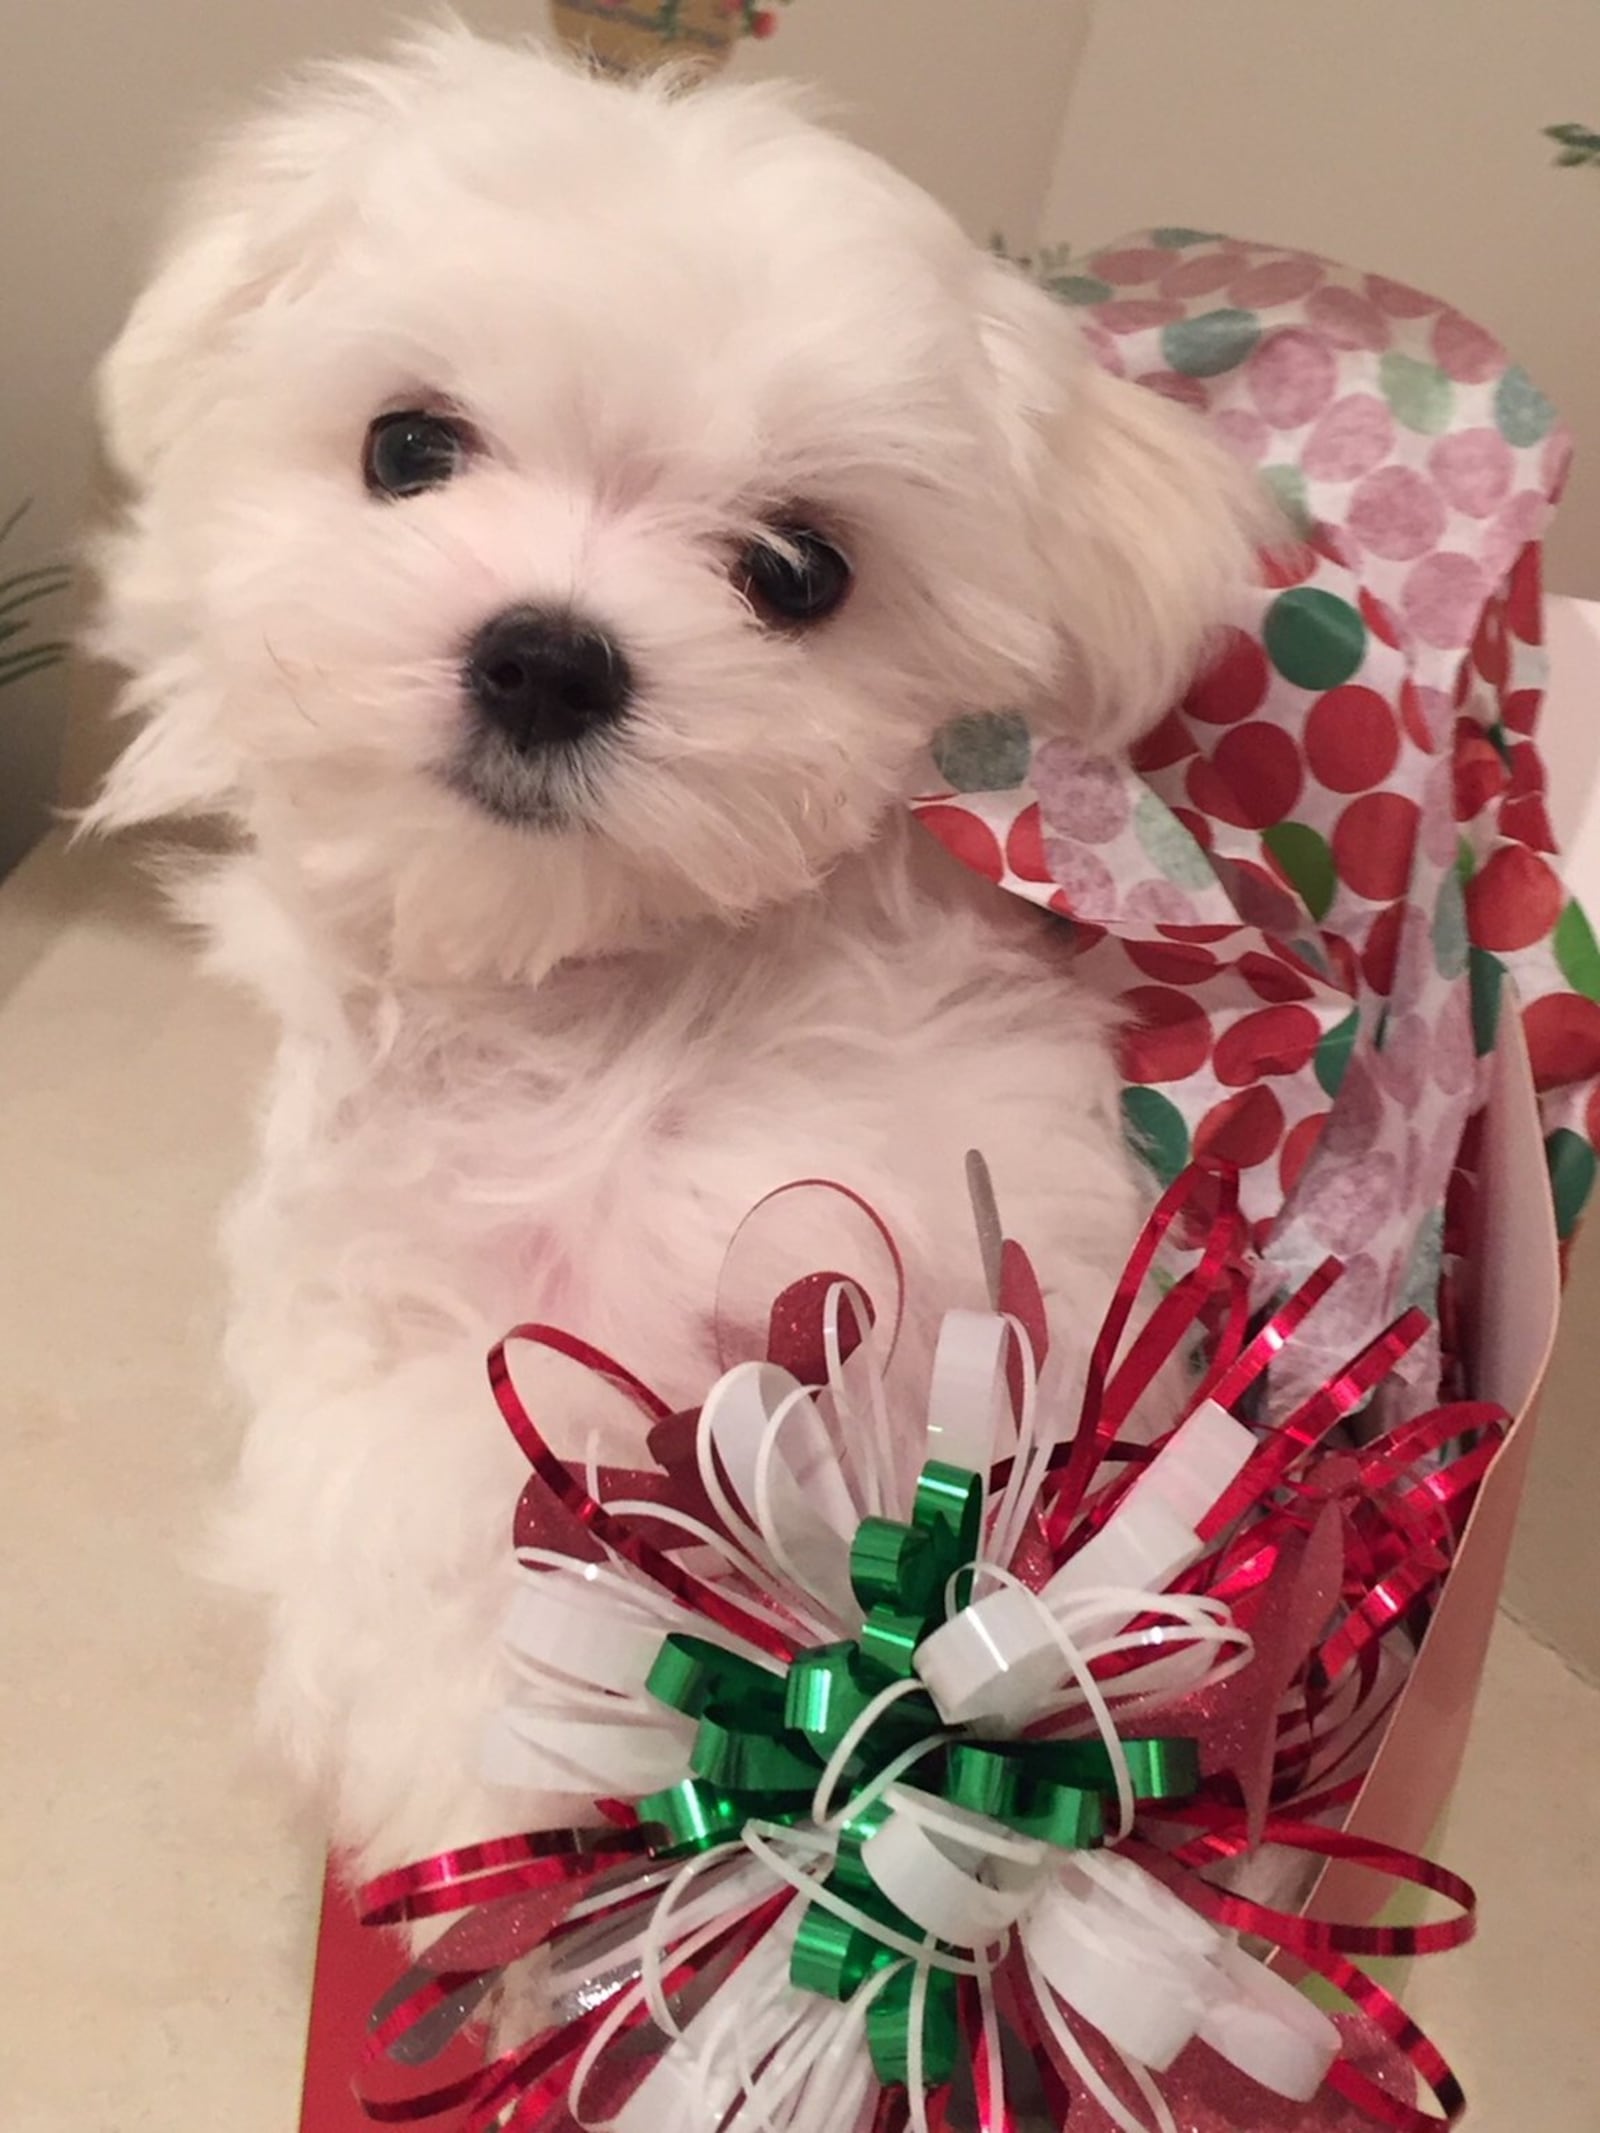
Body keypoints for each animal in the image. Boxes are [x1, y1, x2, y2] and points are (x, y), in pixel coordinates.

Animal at [90, 20, 1262, 1885]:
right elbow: (428, 1524)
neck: (598, 1006)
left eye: (798, 570)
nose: (546, 658)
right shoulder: (393, 1327)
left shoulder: (946, 1239)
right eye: (406, 446)